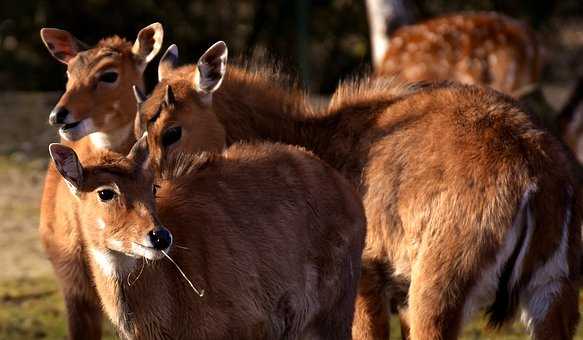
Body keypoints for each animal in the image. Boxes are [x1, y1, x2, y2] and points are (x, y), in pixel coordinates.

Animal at [137, 41, 583, 338]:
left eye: (172, 130)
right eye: (141, 123)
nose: (153, 204)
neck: (318, 137)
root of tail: (536, 171)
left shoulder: (367, 278)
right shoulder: (398, 296)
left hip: (439, 290)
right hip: (554, 293)